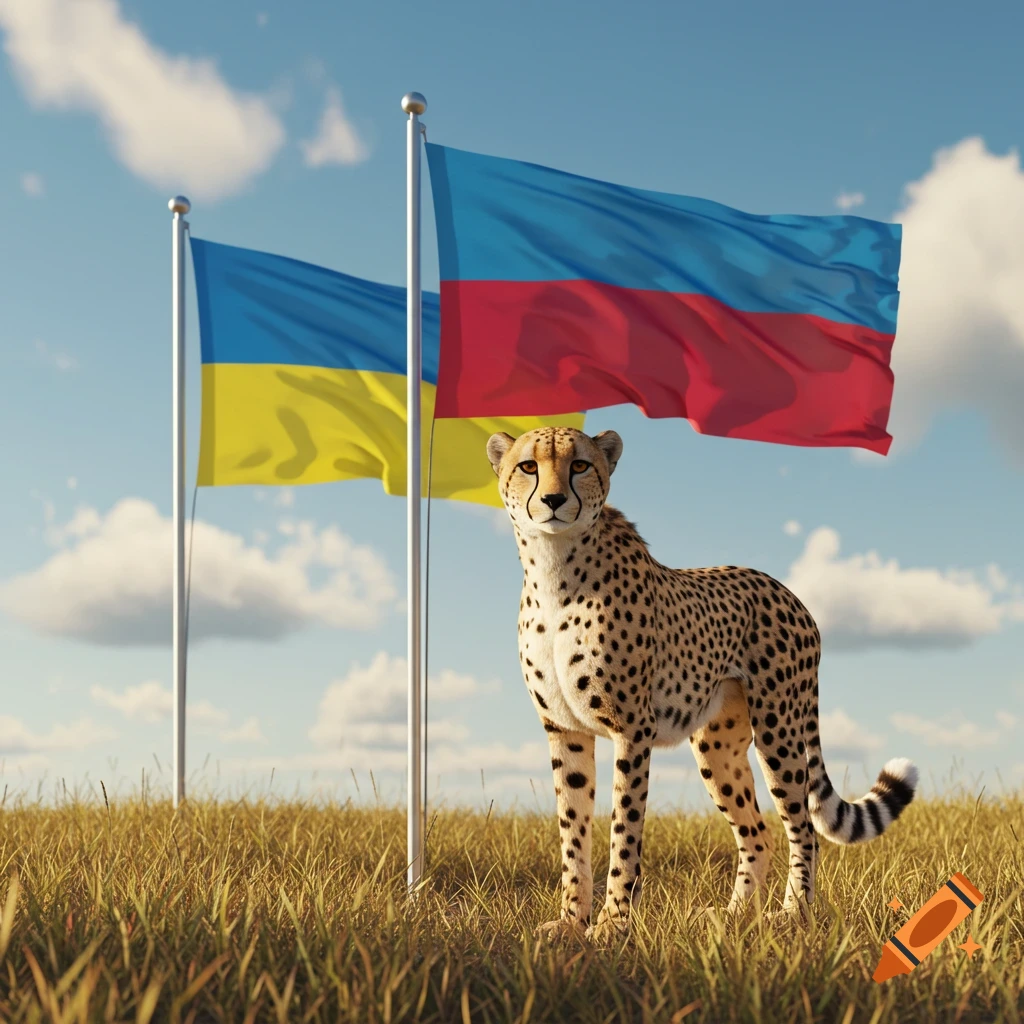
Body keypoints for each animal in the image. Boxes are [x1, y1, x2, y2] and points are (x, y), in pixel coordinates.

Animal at [486, 425, 918, 944]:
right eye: (528, 466)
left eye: (581, 465)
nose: (553, 500)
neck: (554, 568)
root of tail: (789, 592)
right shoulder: (564, 729)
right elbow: (573, 831)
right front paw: (572, 921)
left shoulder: (633, 729)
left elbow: (624, 830)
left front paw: (612, 926)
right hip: (717, 746)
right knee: (757, 832)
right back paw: (733, 917)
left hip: (779, 730)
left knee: (804, 829)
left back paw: (793, 916)